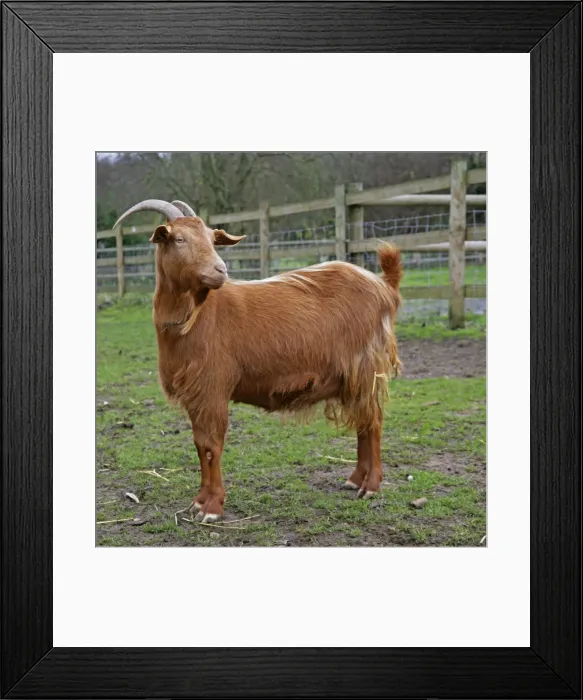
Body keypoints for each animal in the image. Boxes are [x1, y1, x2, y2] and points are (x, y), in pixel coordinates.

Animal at [113, 199, 403, 522]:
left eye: (212, 239)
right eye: (178, 239)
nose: (220, 270)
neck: (195, 317)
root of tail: (384, 286)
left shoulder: (213, 389)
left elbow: (212, 446)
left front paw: (212, 508)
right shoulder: (196, 395)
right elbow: (200, 445)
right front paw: (199, 502)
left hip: (366, 369)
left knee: (374, 421)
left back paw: (371, 486)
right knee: (364, 423)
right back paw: (355, 480)